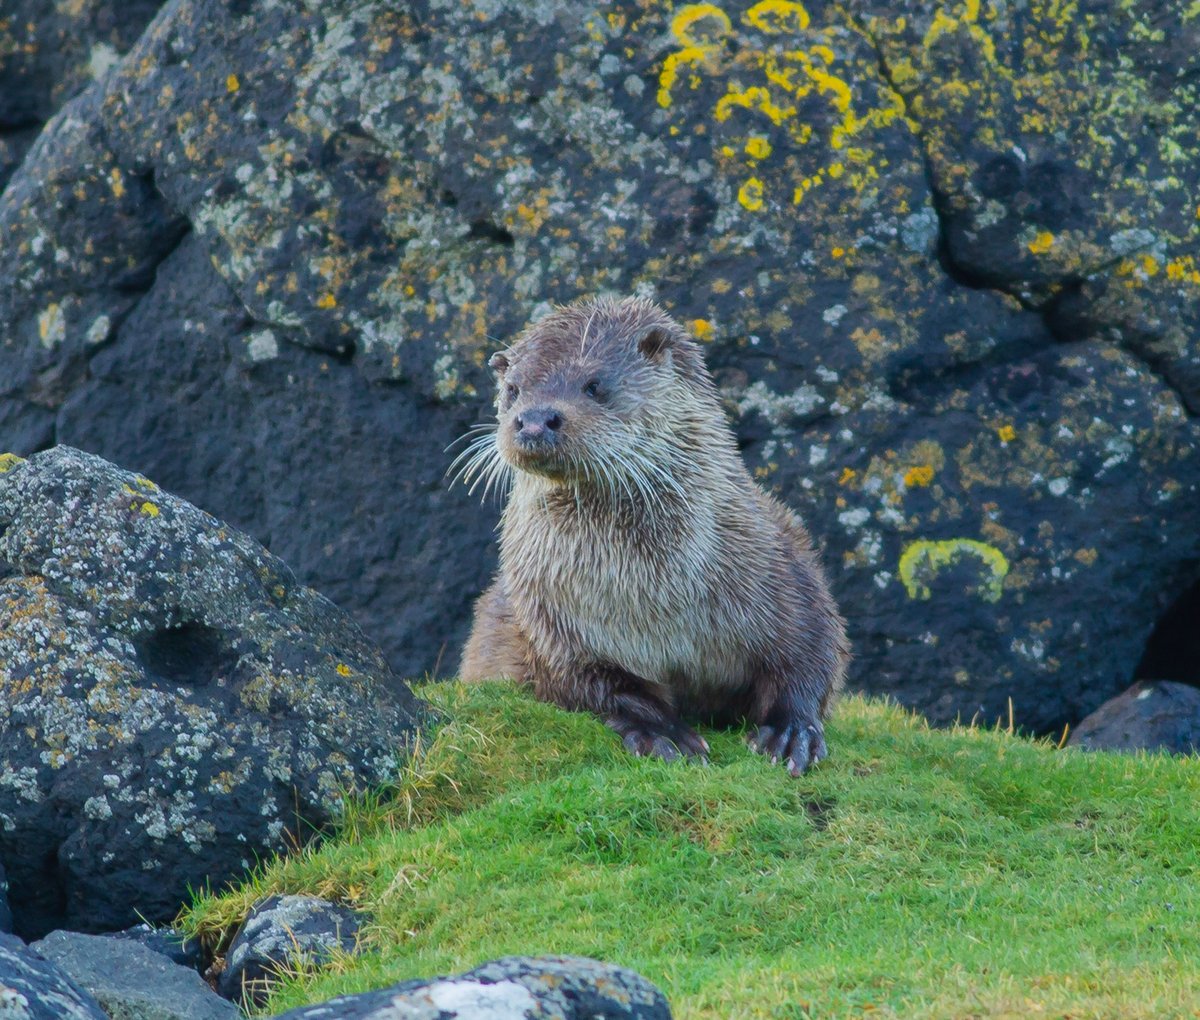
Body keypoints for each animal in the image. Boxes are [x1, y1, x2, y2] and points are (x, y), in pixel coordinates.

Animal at [454, 296, 848, 775]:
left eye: (594, 384)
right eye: (513, 390)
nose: (532, 421)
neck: (661, 596)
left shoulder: (785, 566)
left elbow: (811, 651)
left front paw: (791, 731)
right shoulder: (552, 623)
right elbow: (595, 685)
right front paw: (663, 733)